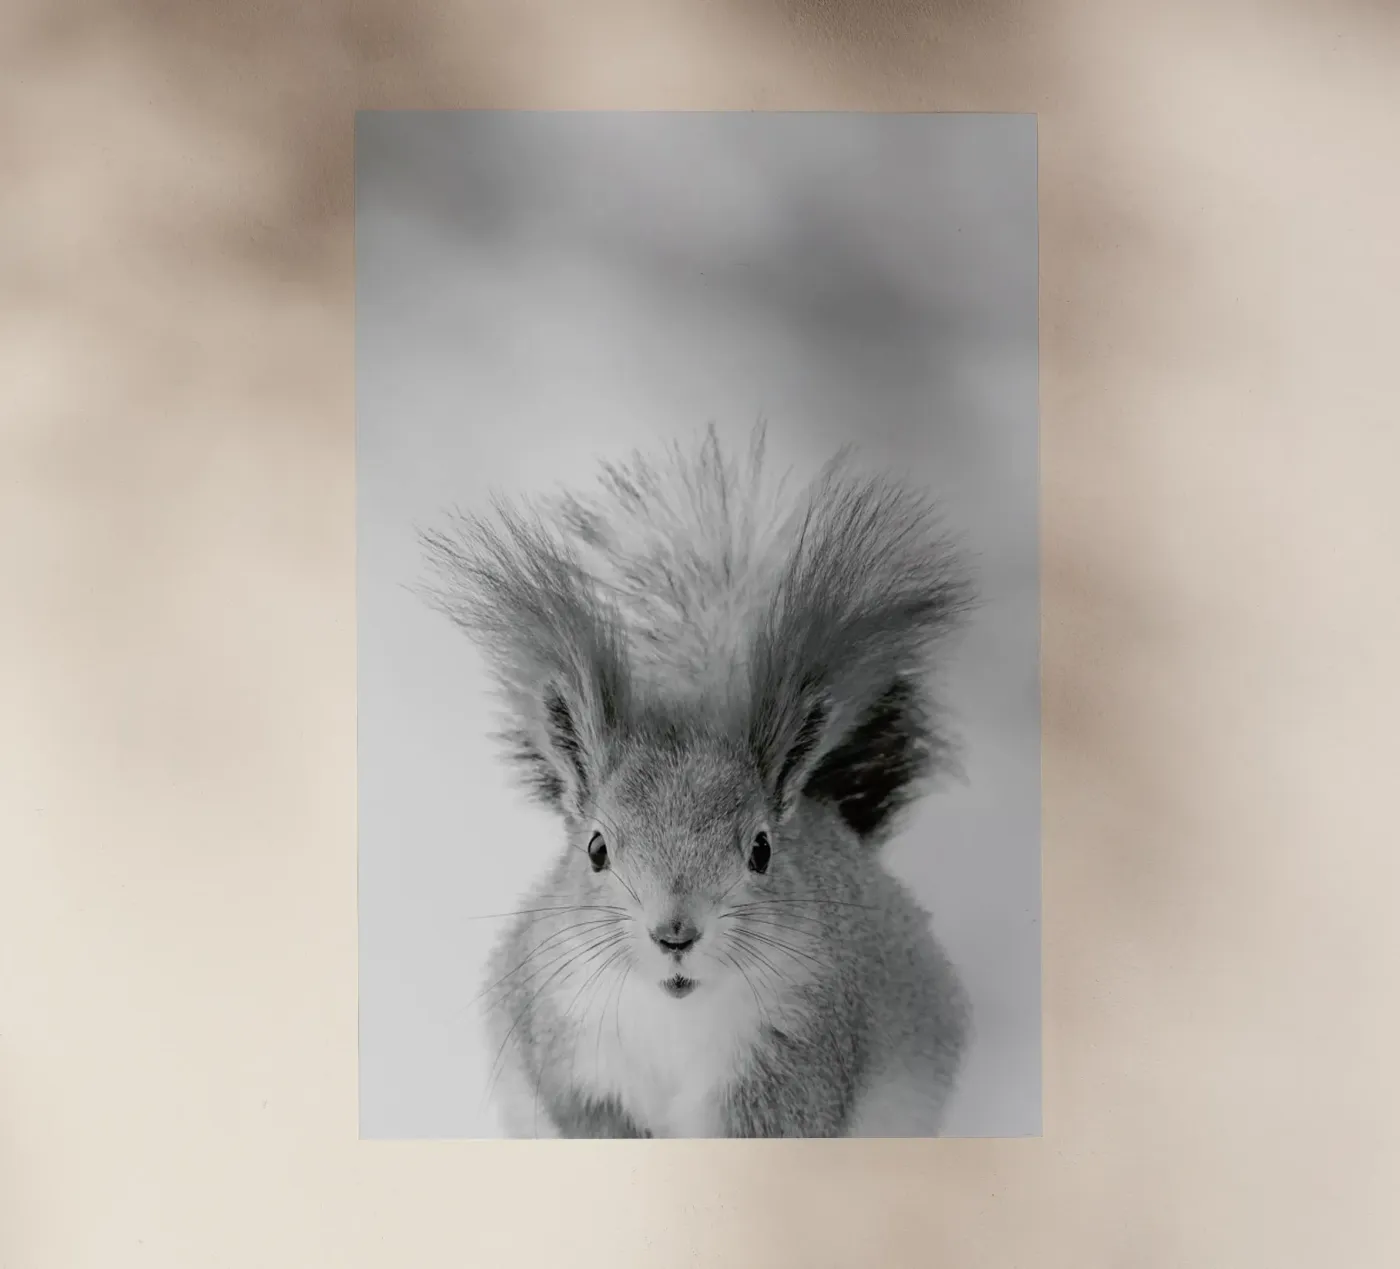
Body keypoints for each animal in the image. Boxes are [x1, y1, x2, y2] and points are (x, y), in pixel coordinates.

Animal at [420, 423, 974, 1138]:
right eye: (595, 849)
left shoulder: (796, 1056)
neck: (673, 1017)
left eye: (761, 850)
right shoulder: (566, 1046)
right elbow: (589, 1118)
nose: (675, 935)